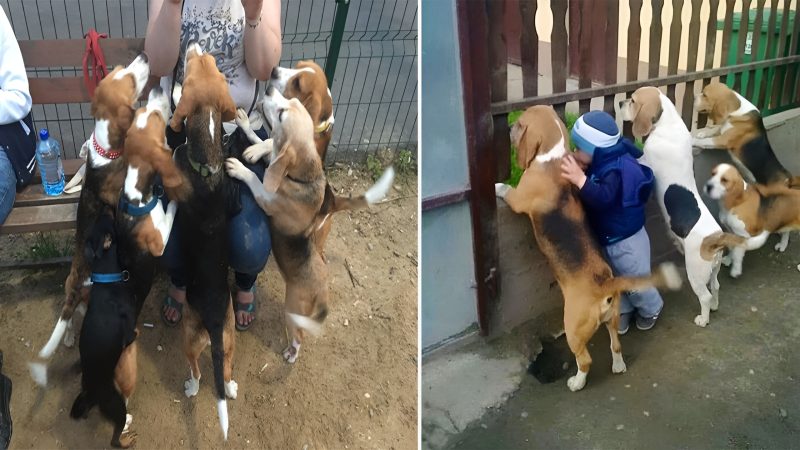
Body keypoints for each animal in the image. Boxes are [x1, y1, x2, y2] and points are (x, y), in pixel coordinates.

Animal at [496, 104, 680, 390]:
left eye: (520, 123)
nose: (506, 127)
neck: (553, 157)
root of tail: (605, 284)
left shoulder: (518, 198)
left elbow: (507, 191)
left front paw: (498, 185)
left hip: (573, 327)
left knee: (585, 360)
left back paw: (577, 382)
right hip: (612, 320)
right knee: (616, 345)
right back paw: (618, 366)